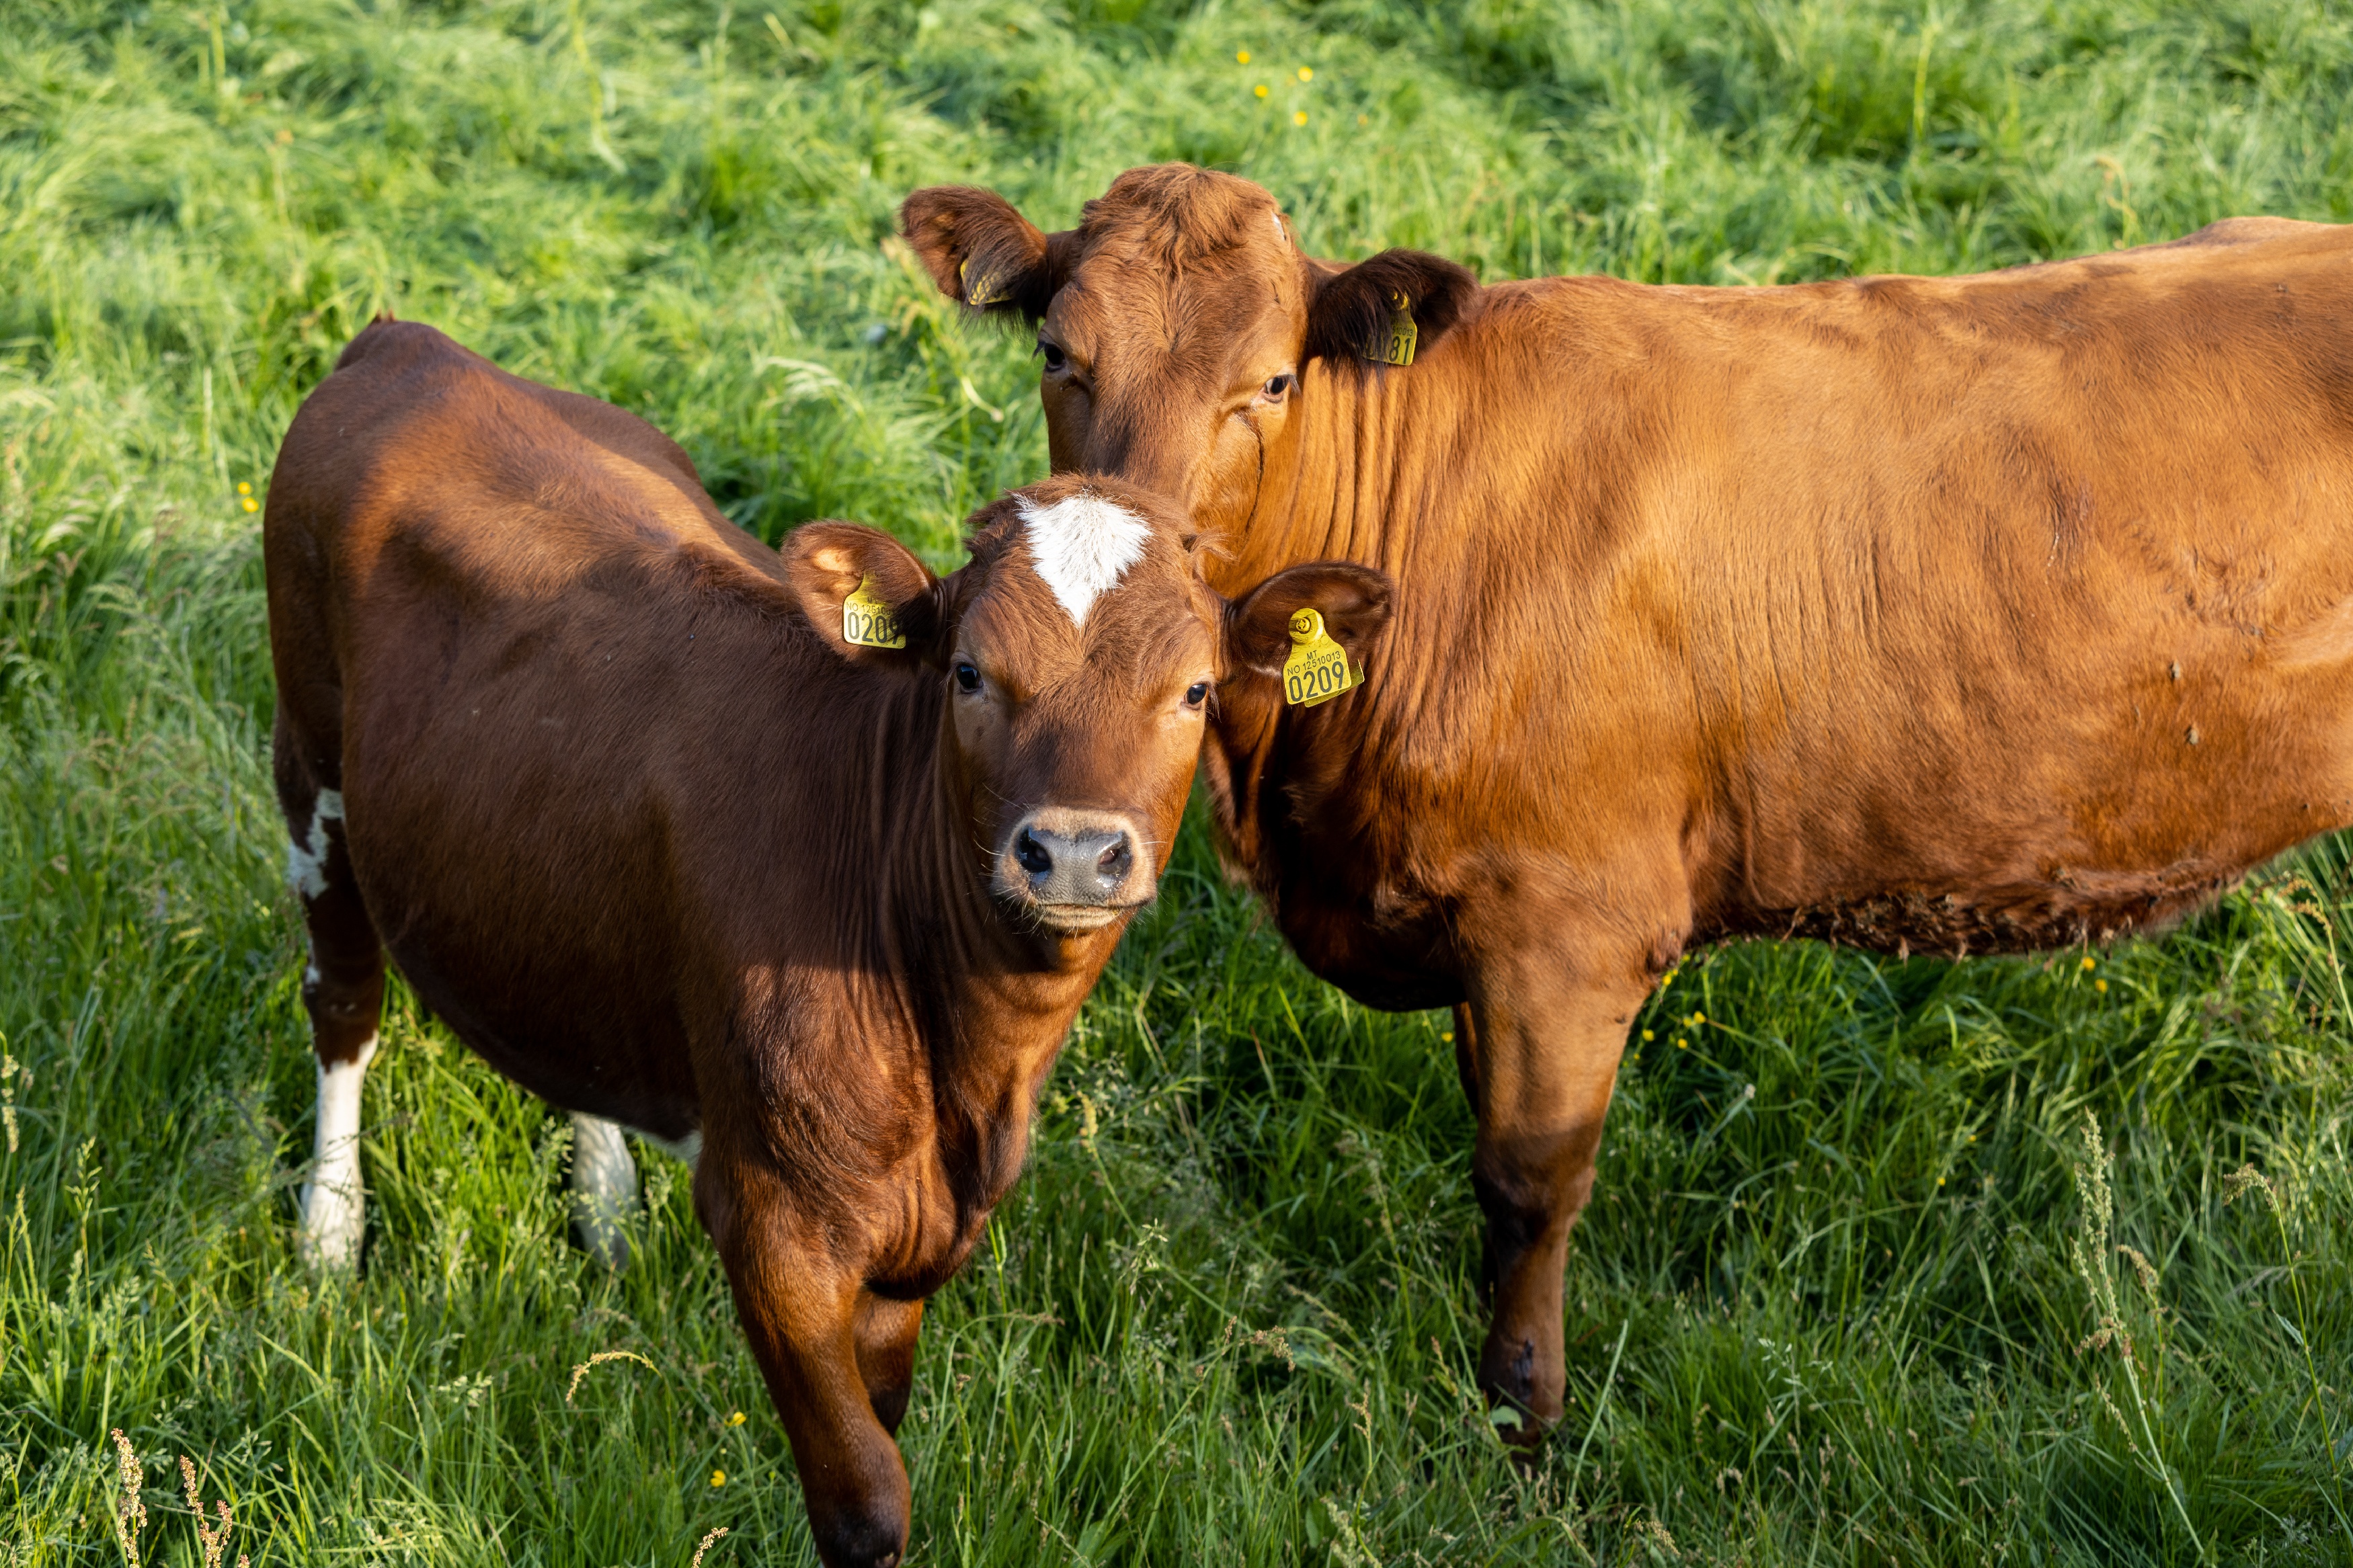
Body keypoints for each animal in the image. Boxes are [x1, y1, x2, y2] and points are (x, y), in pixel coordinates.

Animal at [267, 322, 1384, 1568]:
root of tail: (412, 345)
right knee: (344, 1002)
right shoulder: (774, 1227)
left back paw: (603, 1209)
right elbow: (865, 1502)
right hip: (311, 763)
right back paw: (328, 1233)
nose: (1074, 852)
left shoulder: (913, 1242)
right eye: (969, 673)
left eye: (1194, 691)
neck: (962, 1063)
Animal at [894, 165, 2353, 1438]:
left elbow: (1527, 1178)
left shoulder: (1570, 927)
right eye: (1058, 354)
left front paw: (1521, 1415)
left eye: (1271, 380)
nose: (1133, 580)